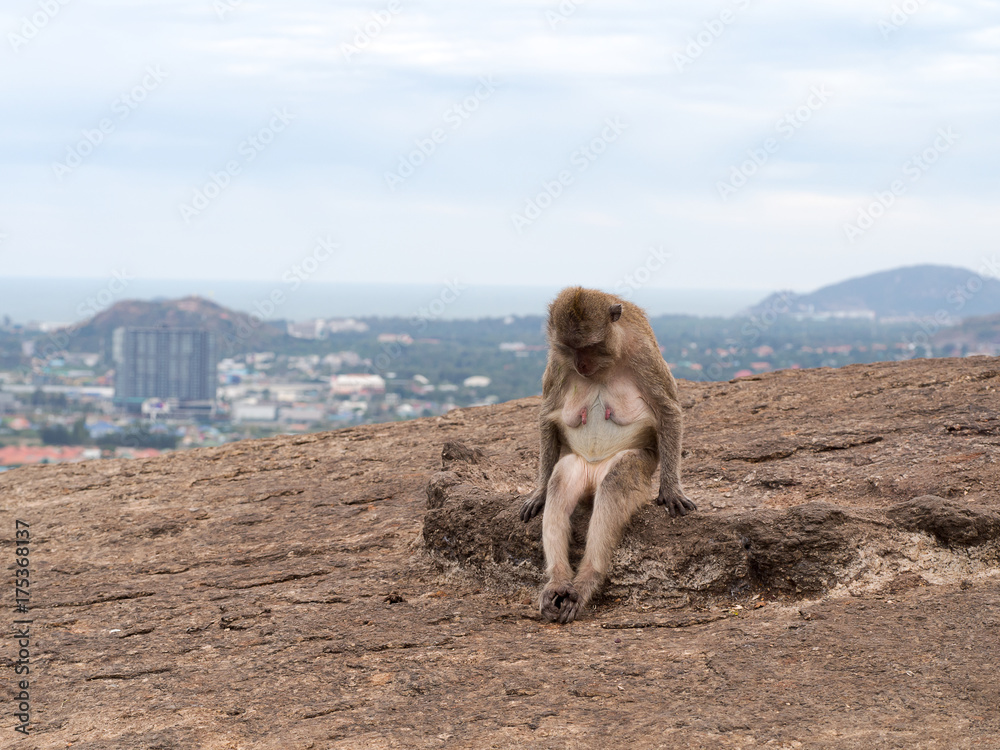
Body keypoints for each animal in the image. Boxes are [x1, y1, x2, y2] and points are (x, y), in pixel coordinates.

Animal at [520, 286, 695, 624]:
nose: (582, 366)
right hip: (579, 467)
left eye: (591, 346)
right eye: (570, 347)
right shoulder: (558, 362)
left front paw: (671, 489)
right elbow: (547, 415)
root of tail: (593, 475)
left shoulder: (643, 353)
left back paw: (586, 580)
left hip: (632, 467)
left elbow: (667, 409)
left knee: (615, 485)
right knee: (561, 483)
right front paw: (538, 493)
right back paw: (558, 581)